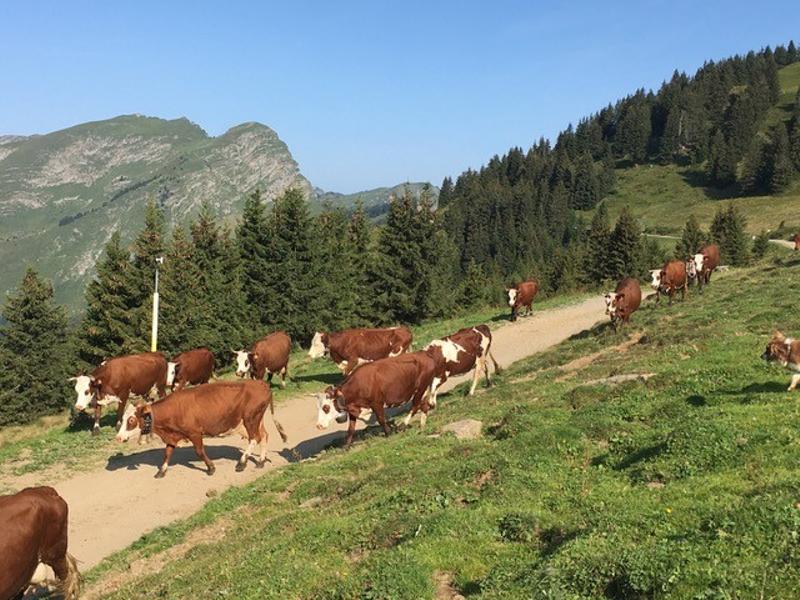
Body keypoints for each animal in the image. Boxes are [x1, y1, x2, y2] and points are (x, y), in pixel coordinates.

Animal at [116, 380, 287, 478]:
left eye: (131, 420)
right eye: (123, 419)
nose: (118, 438)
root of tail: (261, 384)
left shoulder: (194, 433)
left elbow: (199, 451)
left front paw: (210, 468)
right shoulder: (172, 437)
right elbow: (167, 454)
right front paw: (161, 471)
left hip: (250, 418)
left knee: (254, 438)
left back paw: (242, 462)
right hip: (254, 419)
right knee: (263, 436)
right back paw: (261, 461)